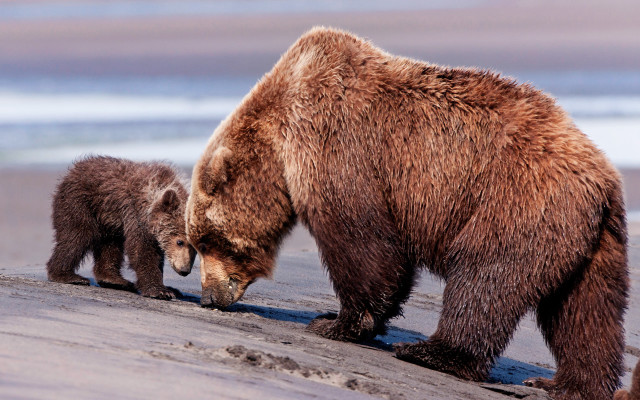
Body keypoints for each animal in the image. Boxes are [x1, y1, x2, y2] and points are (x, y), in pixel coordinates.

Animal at [47, 155, 196, 300]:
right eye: (180, 242)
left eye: (195, 249)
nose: (184, 270)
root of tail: (74, 169)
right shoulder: (137, 214)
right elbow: (142, 249)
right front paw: (160, 290)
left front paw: (171, 289)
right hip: (80, 202)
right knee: (78, 235)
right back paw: (67, 275)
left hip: (107, 219)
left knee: (110, 245)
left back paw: (115, 280)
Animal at [185, 27, 628, 399]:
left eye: (207, 240)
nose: (209, 297)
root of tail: (603, 177)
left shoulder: (337, 143)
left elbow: (363, 242)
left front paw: (335, 322)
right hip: (592, 241)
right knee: (585, 314)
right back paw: (567, 383)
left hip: (516, 199)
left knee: (485, 274)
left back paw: (431, 351)